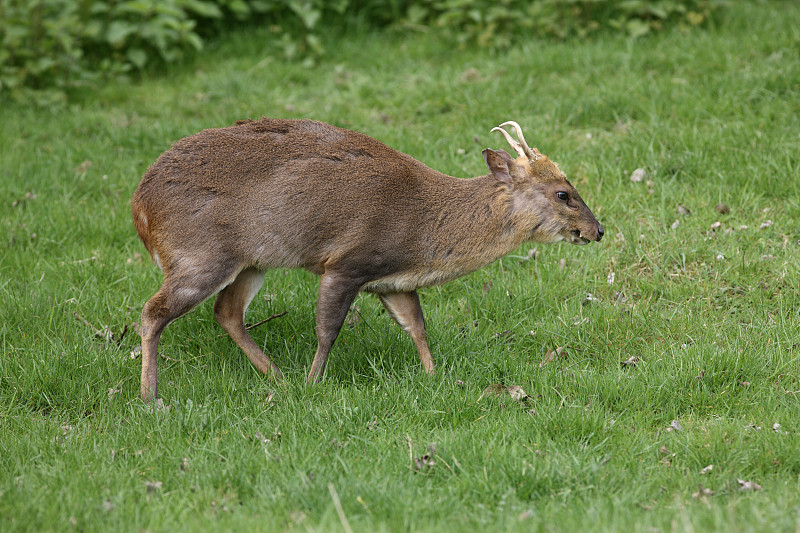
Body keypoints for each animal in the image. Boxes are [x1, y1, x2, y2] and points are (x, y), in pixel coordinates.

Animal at [131, 119, 604, 404]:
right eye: (563, 193)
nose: (597, 230)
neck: (423, 233)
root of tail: (140, 206)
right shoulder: (348, 262)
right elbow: (328, 329)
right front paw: (314, 384)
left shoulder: (391, 280)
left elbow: (416, 326)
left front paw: (433, 378)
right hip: (199, 253)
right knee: (153, 312)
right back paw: (150, 397)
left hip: (249, 261)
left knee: (226, 312)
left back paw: (276, 378)